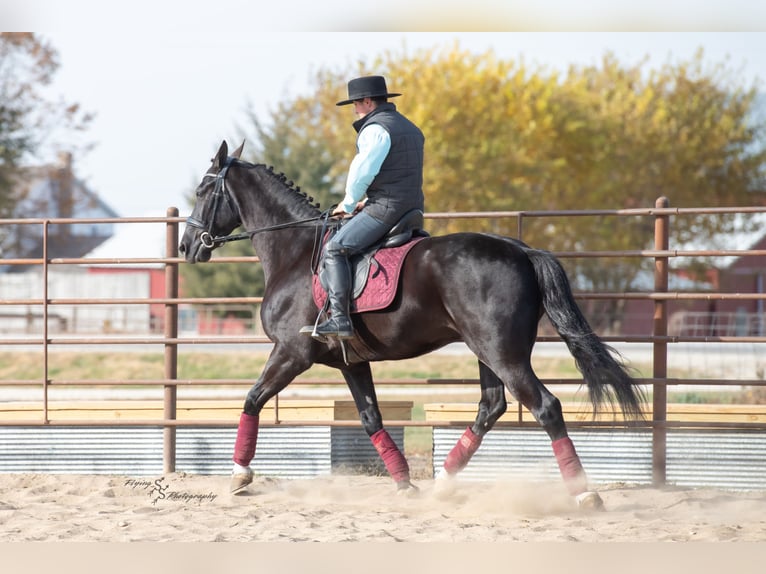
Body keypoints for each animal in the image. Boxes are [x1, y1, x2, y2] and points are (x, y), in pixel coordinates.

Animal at [179, 140, 645, 509]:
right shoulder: (350, 362)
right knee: (491, 406)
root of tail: (520, 249)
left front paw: (239, 475)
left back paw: (584, 492)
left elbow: (252, 400)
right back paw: (444, 482)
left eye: (203, 189)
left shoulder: (291, 353)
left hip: (503, 354)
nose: (186, 247)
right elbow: (370, 418)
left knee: (545, 406)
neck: (295, 251)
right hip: (488, 352)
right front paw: (404, 484)